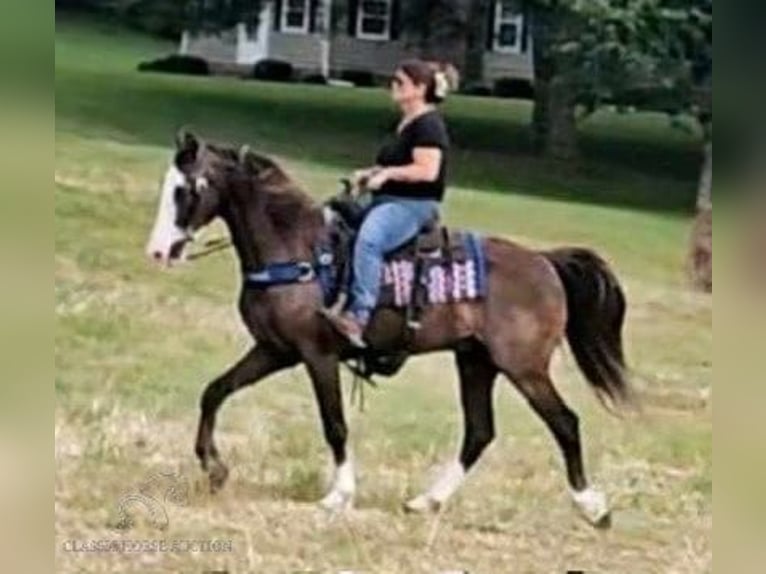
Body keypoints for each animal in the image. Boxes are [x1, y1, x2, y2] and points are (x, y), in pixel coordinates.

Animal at [147, 133, 632, 528]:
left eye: (184, 189)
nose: (157, 251)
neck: (297, 249)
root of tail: (544, 262)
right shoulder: (274, 350)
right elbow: (215, 391)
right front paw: (215, 469)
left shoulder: (317, 354)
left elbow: (335, 424)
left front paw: (339, 496)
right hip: (475, 361)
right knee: (479, 431)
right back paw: (427, 501)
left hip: (524, 367)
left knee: (564, 422)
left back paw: (594, 508)